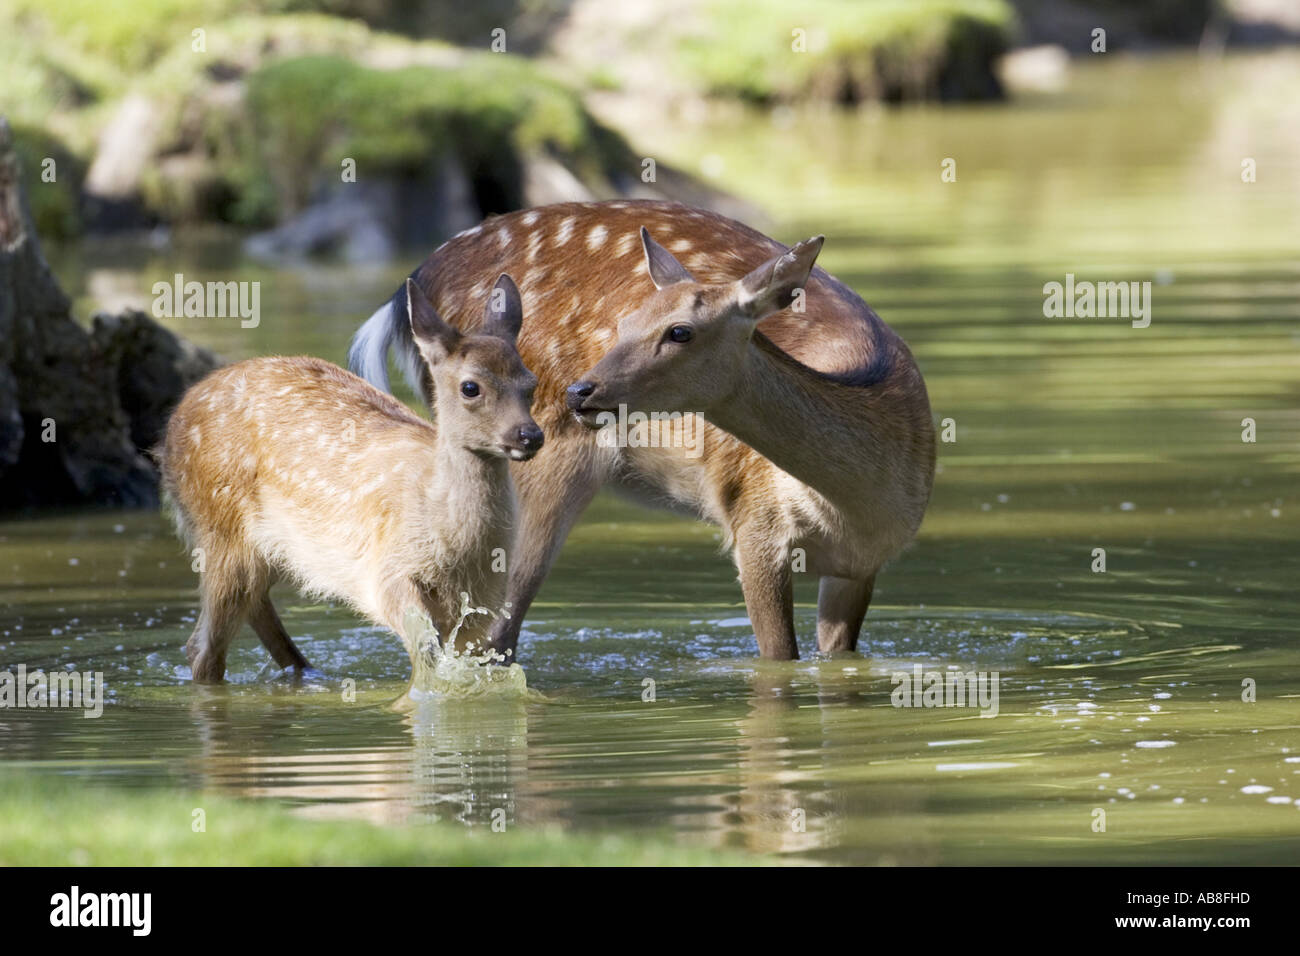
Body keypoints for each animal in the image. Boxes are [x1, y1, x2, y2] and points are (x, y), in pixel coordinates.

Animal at [351, 201, 930, 660]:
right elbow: (778, 660)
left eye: (680, 332)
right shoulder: (754, 523)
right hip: (536, 472)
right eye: (624, 324)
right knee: (493, 632)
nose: (580, 392)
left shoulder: (861, 565)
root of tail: (402, 299)